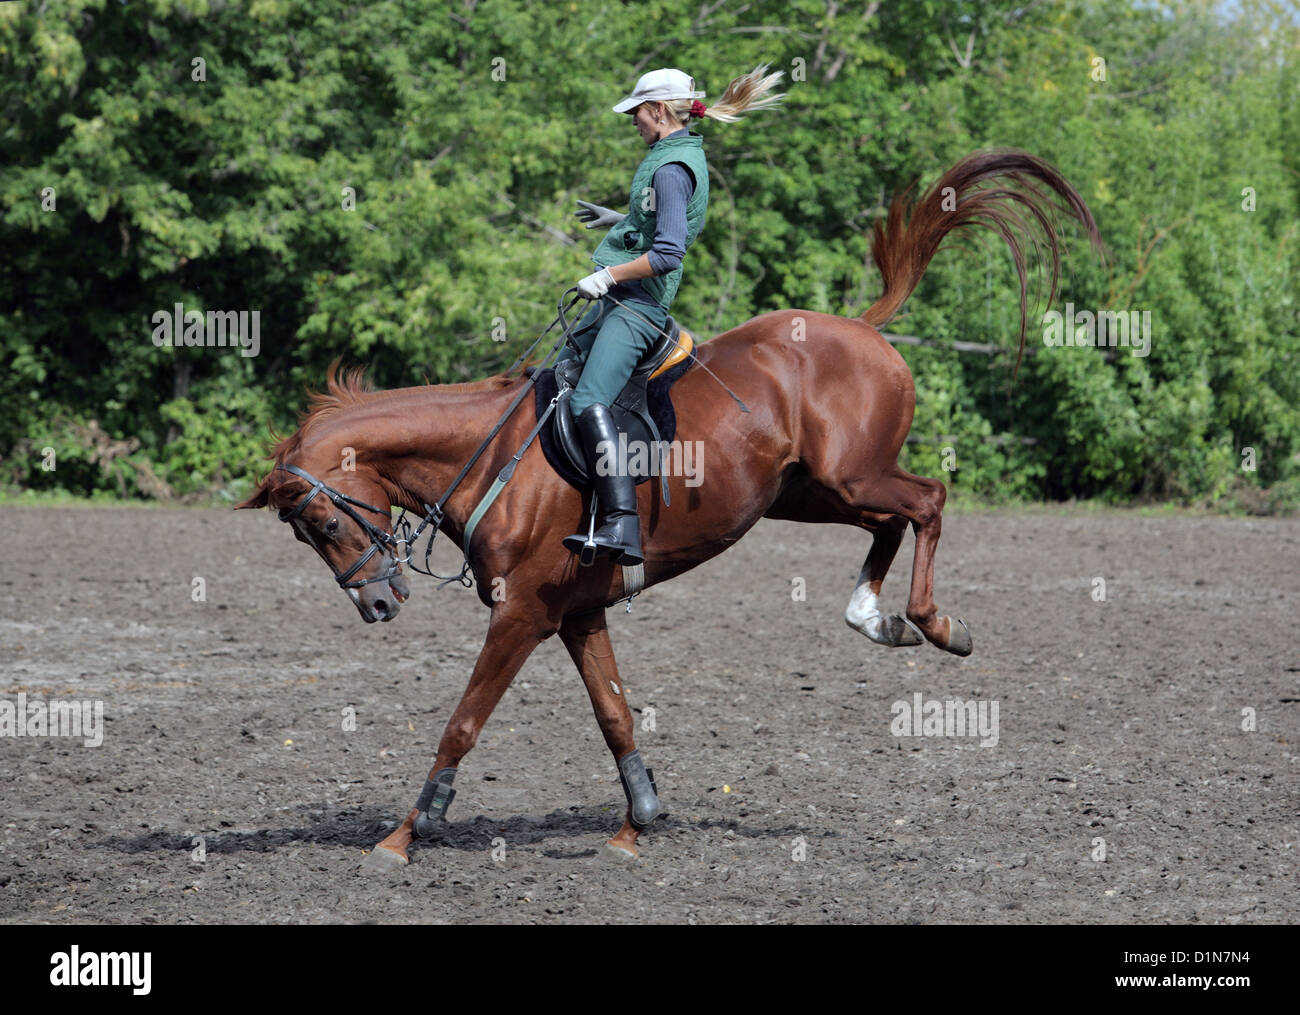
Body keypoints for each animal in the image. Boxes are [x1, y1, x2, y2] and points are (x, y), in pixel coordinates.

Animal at [237, 148, 1101, 868]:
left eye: (323, 522)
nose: (378, 604)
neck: (490, 454)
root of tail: (859, 326)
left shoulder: (522, 614)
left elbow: (463, 720)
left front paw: (405, 834)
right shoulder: (577, 612)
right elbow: (615, 713)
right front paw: (637, 820)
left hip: (853, 476)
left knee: (928, 499)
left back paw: (934, 622)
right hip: (811, 493)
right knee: (891, 521)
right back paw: (873, 617)